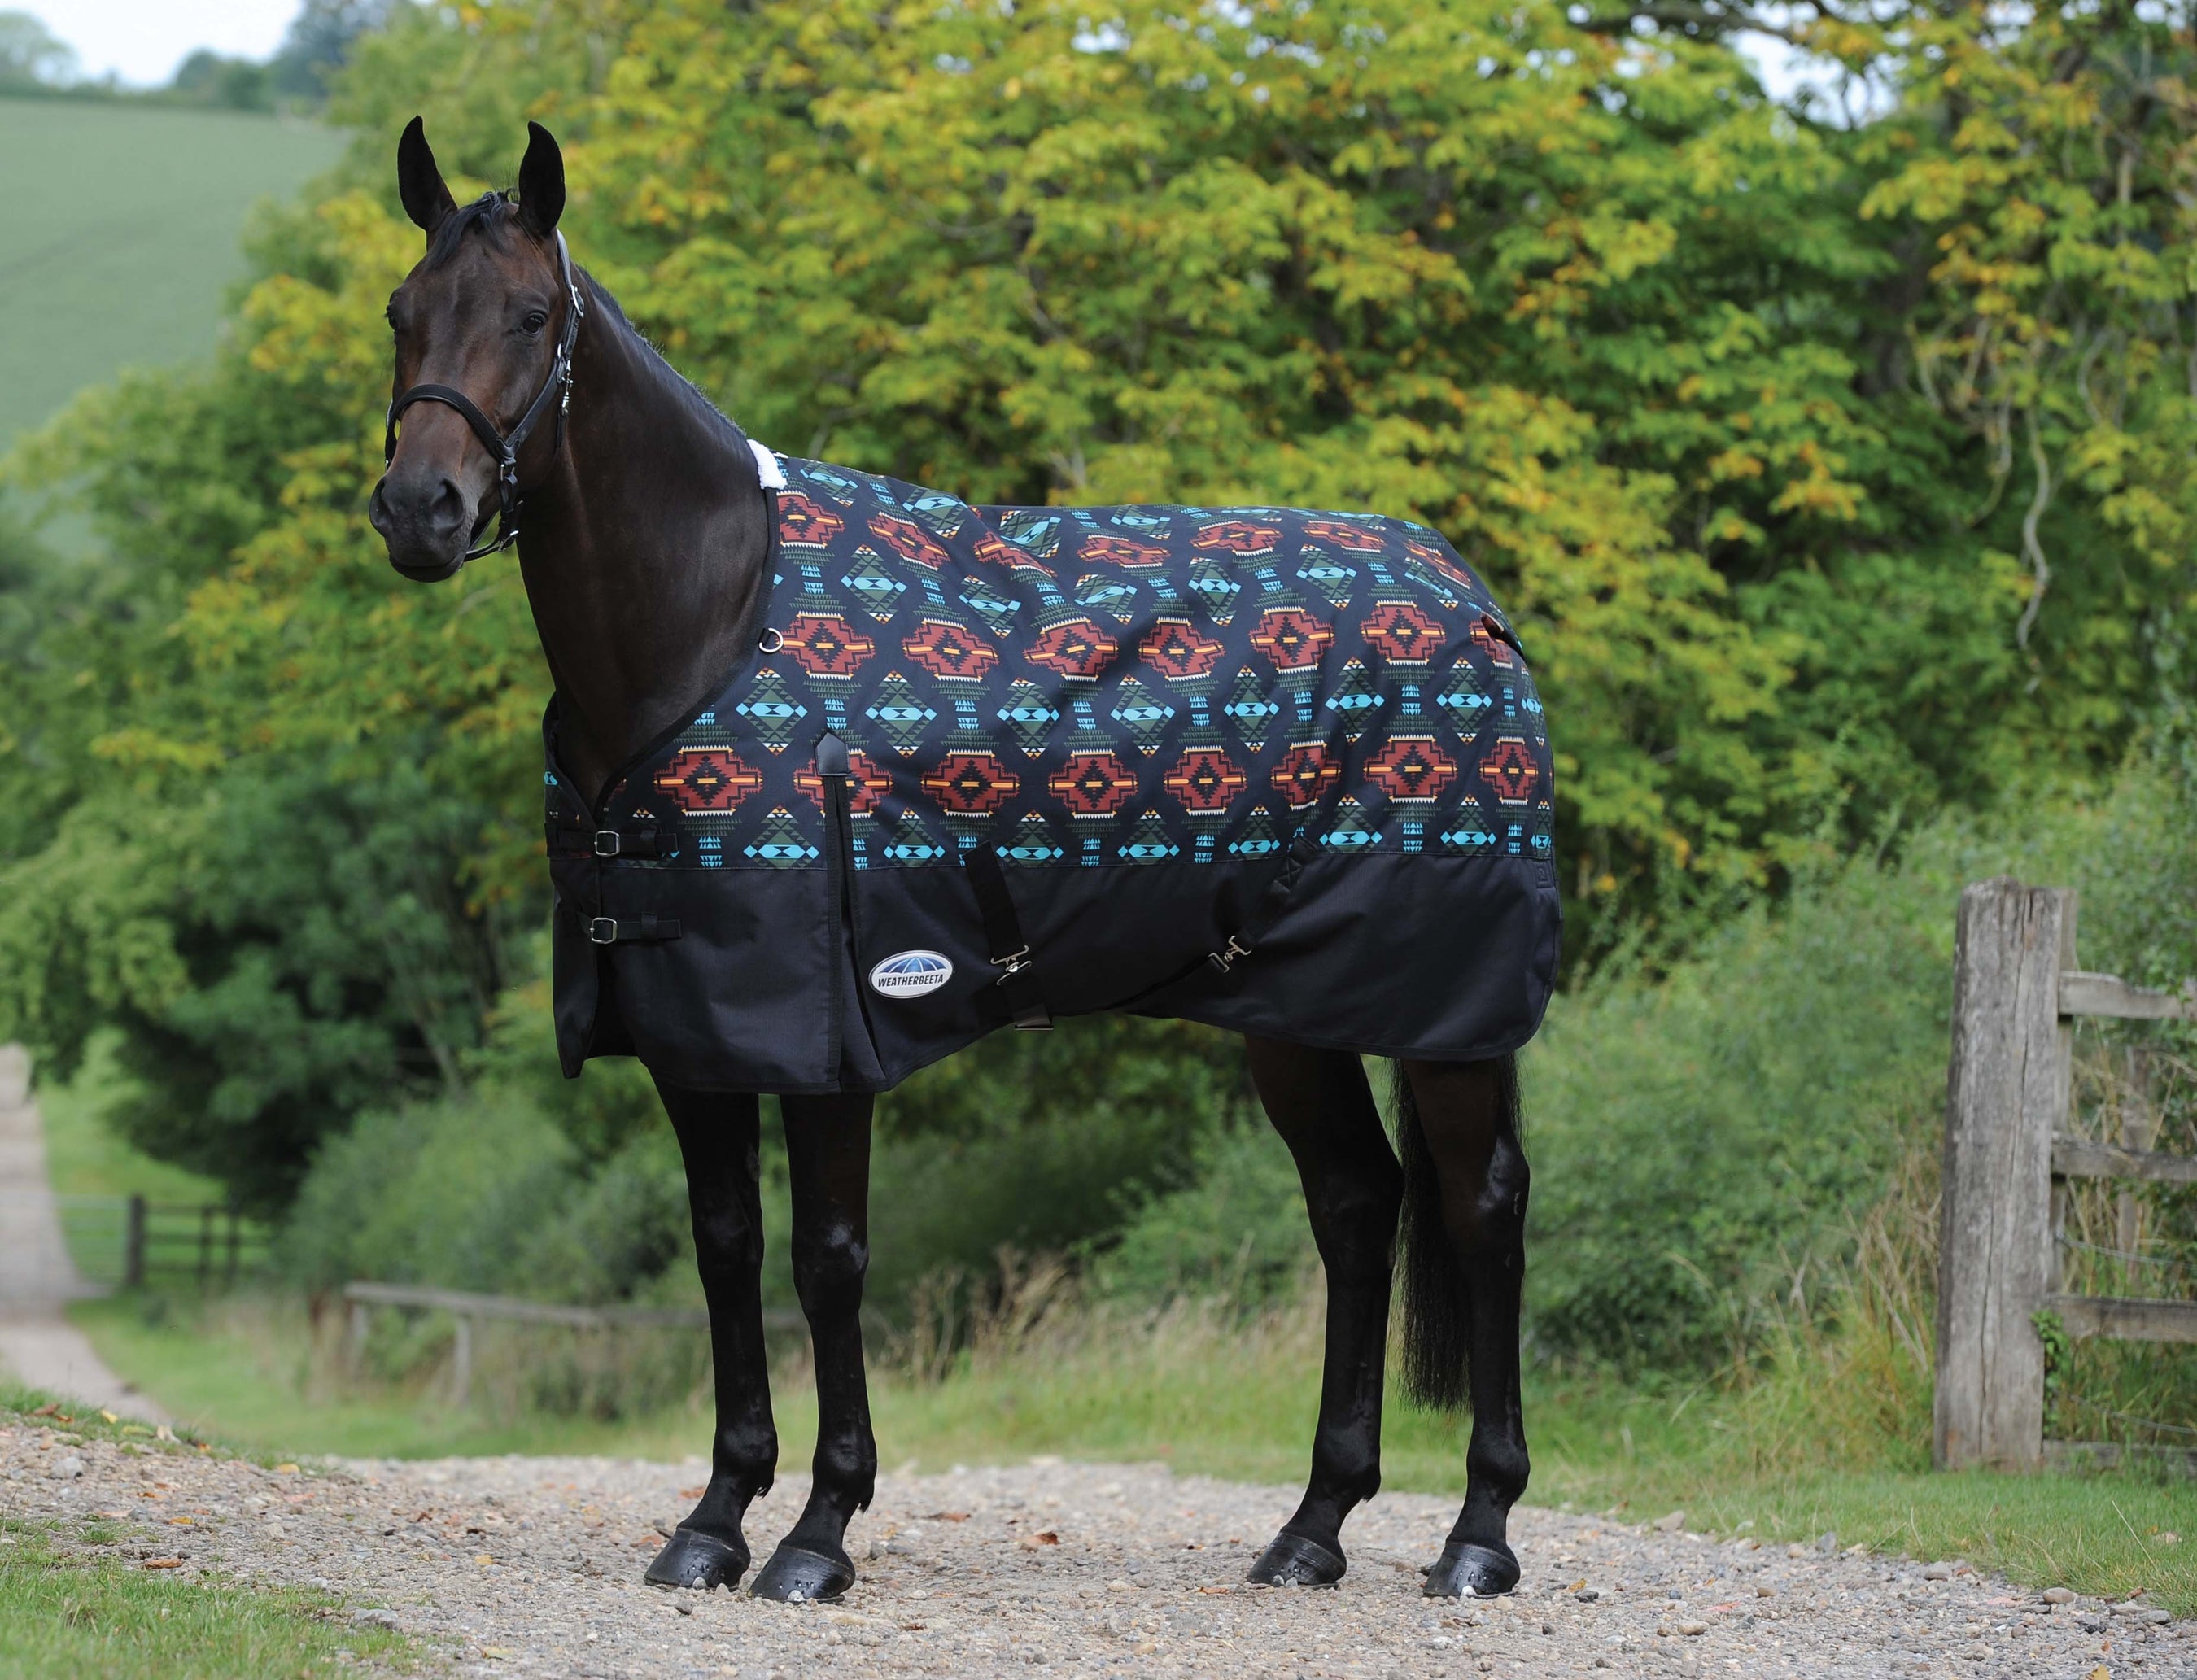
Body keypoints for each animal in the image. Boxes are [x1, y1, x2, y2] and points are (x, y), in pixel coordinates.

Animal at [368, 118, 1548, 1606]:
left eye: (530, 316)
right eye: (402, 314)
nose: (420, 508)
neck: (706, 626)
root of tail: (1474, 603)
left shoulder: (826, 1030)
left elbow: (826, 1261)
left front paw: (818, 1533)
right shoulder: (689, 1029)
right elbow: (724, 1250)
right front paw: (713, 1521)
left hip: (1448, 1010)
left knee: (1483, 1208)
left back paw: (1479, 1536)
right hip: (1292, 1009)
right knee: (1356, 1204)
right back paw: (1313, 1527)